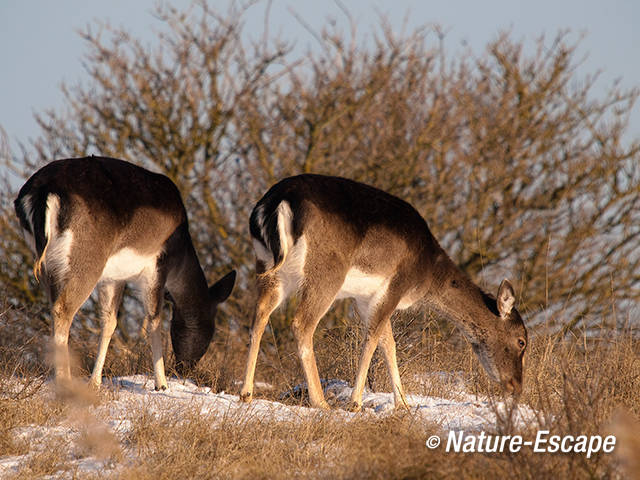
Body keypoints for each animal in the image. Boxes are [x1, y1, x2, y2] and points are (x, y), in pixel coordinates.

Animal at [14, 157, 235, 390]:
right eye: (210, 331)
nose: (186, 368)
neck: (181, 255)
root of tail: (41, 192)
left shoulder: (113, 277)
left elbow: (109, 322)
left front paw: (95, 382)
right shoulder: (157, 266)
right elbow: (153, 320)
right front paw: (162, 384)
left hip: (49, 266)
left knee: (54, 306)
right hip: (86, 260)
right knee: (62, 310)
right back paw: (65, 381)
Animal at [242, 174, 528, 410]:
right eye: (521, 341)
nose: (516, 386)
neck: (427, 274)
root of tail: (275, 203)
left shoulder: (364, 298)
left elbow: (388, 343)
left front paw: (403, 404)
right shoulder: (394, 287)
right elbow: (373, 339)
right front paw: (356, 403)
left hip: (266, 267)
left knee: (259, 316)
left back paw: (246, 393)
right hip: (325, 274)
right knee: (302, 324)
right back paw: (320, 401)